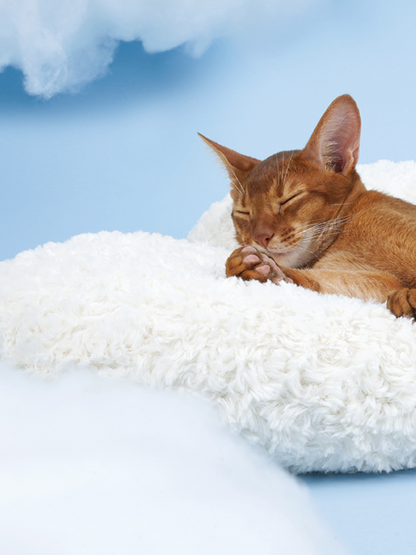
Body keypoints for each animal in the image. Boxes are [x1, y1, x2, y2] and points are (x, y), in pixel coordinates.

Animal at [199, 95, 416, 320]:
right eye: (243, 213)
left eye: (289, 199)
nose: (260, 238)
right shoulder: (378, 282)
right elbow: (321, 281)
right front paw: (253, 268)